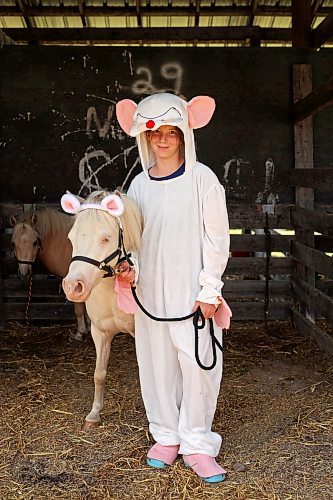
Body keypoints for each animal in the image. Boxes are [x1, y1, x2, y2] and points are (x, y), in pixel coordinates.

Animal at [10, 206, 90, 340]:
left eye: (35, 242)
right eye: (13, 244)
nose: (24, 272)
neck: (65, 244)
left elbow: (79, 308)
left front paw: (80, 333)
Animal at [61, 189, 141, 428]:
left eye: (105, 238)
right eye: (71, 238)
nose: (73, 287)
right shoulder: (100, 332)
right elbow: (99, 373)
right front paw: (94, 413)